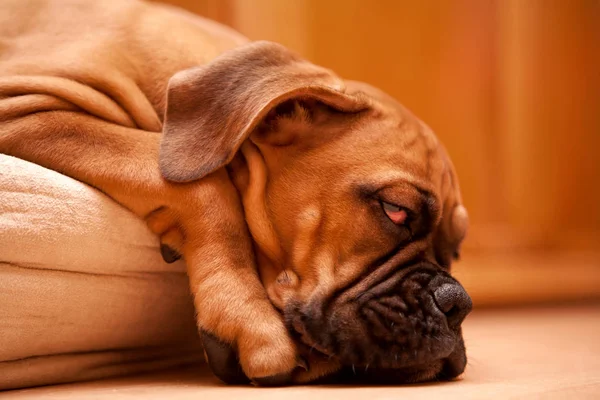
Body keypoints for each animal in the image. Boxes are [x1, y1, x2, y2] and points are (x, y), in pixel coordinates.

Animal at [0, 0, 472, 386]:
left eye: (455, 251)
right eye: (395, 210)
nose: (458, 304)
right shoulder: (26, 106)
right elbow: (205, 187)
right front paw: (248, 319)